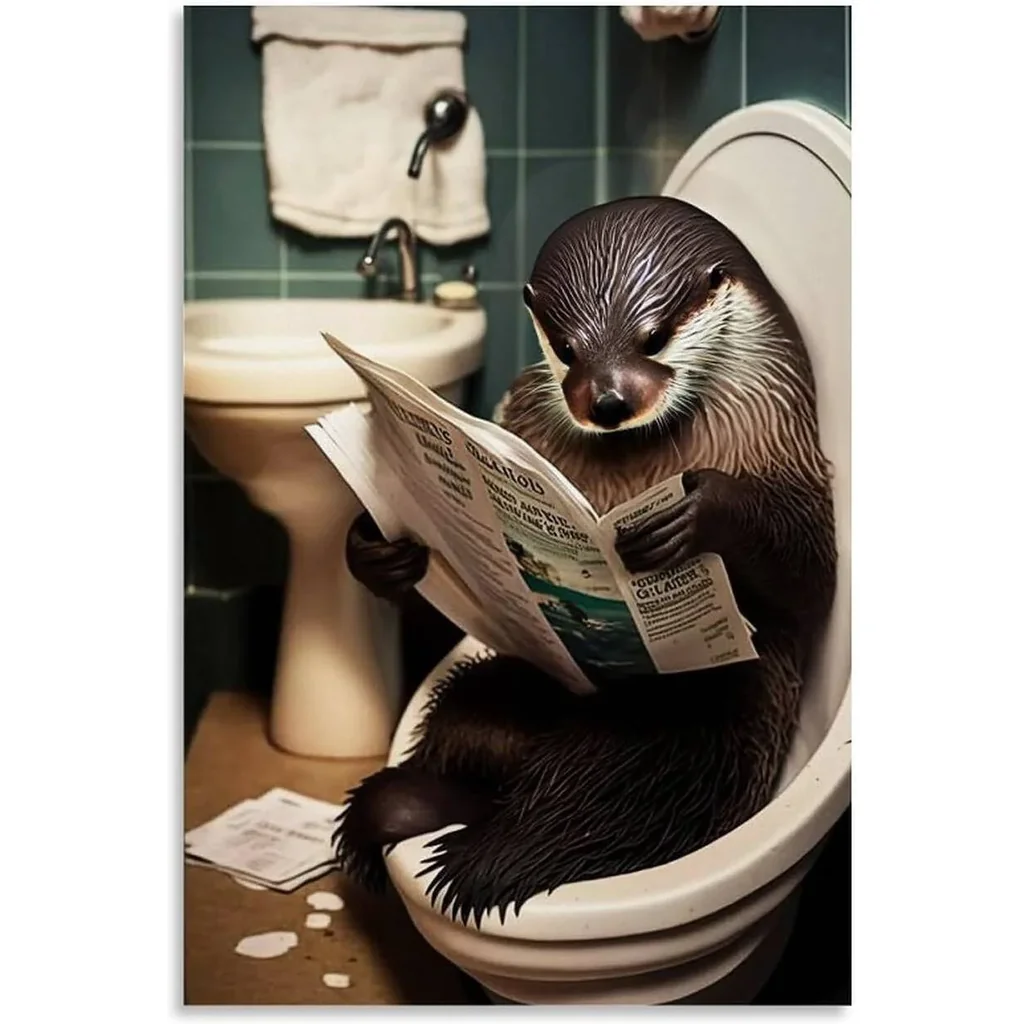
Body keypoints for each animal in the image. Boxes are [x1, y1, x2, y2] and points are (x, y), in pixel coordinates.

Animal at [334, 196, 837, 927]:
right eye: (567, 348)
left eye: (653, 337)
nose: (607, 401)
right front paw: (376, 548)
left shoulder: (786, 443)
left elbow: (813, 580)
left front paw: (701, 511)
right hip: (515, 688)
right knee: (468, 720)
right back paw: (409, 807)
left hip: (680, 740)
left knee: (596, 804)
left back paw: (473, 857)